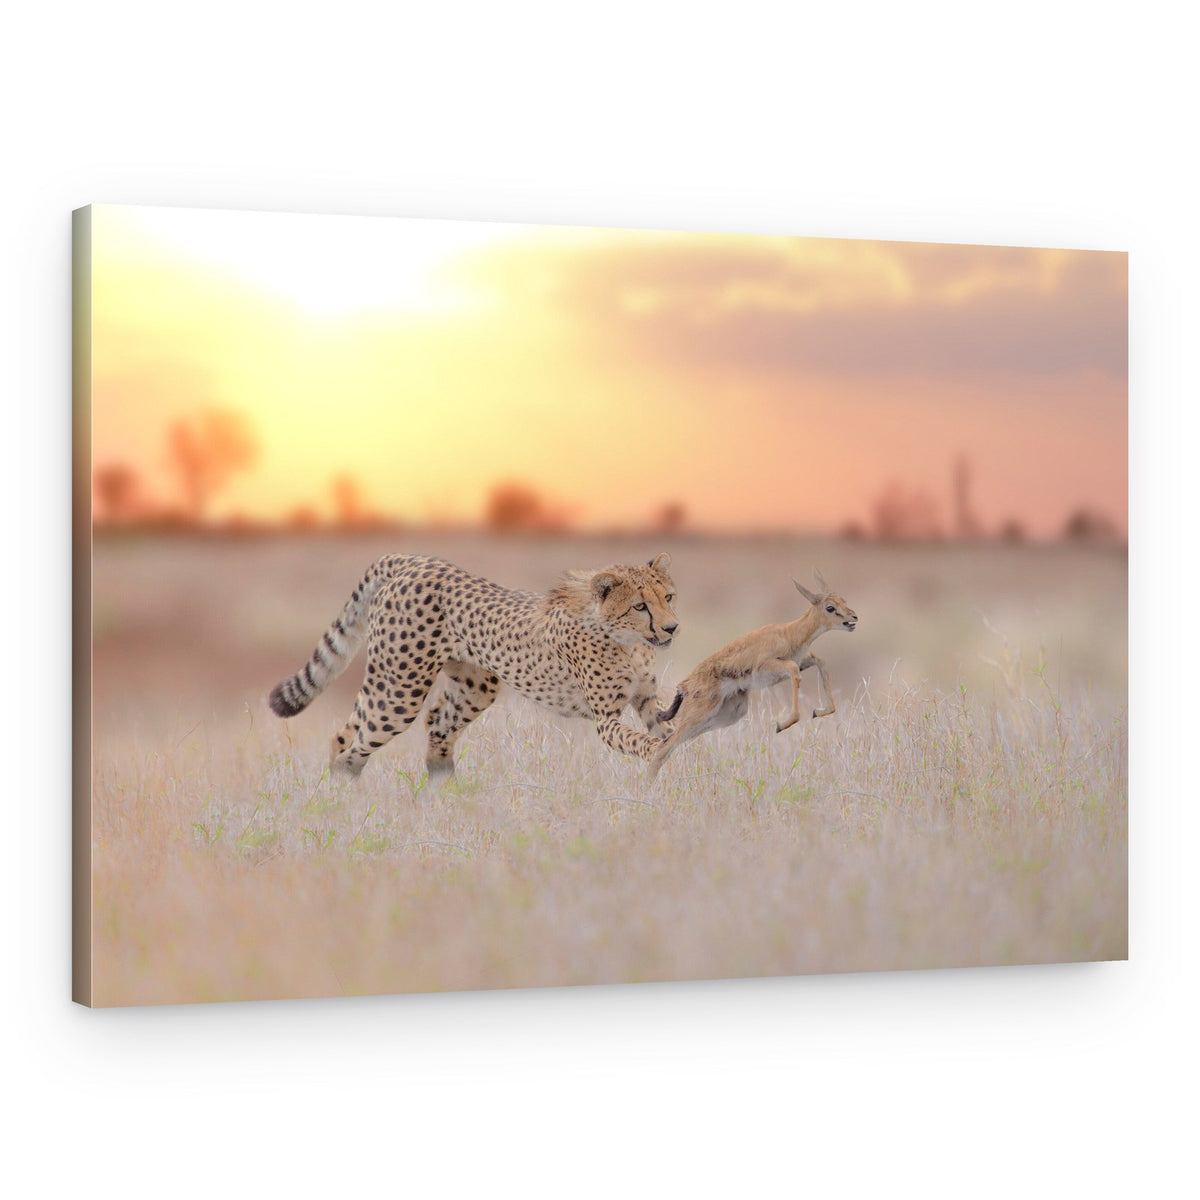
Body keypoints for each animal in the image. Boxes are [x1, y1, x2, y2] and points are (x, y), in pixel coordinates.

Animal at [268, 551, 680, 780]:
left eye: (669, 597)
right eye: (640, 606)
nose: (672, 627)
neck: (629, 642)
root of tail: (415, 561)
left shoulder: (647, 701)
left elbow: (669, 727)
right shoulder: (605, 719)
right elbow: (641, 740)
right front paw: (659, 758)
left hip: (472, 688)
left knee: (426, 730)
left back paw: (447, 801)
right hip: (400, 691)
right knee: (352, 750)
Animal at [647, 572, 858, 782]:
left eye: (843, 600)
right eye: (830, 607)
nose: (853, 617)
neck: (789, 633)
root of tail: (684, 686)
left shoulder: (804, 660)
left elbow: (821, 663)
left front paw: (817, 712)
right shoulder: (774, 666)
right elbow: (795, 672)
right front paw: (781, 725)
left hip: (724, 716)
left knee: (667, 745)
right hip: (699, 716)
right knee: (662, 748)